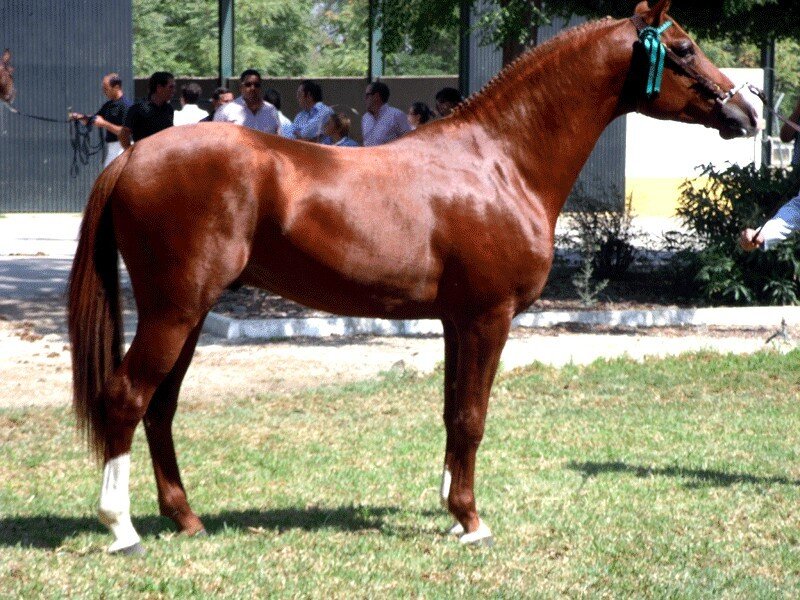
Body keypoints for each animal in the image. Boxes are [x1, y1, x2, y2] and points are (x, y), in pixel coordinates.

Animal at [68, 0, 758, 555]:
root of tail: (133, 156)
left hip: (188, 313)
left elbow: (454, 412)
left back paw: (186, 520)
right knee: (128, 396)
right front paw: (473, 522)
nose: (747, 113)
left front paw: (453, 513)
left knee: (161, 408)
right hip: (175, 310)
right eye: (684, 48)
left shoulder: (457, 320)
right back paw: (121, 529)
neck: (499, 162)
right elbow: (473, 416)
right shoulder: (487, 317)